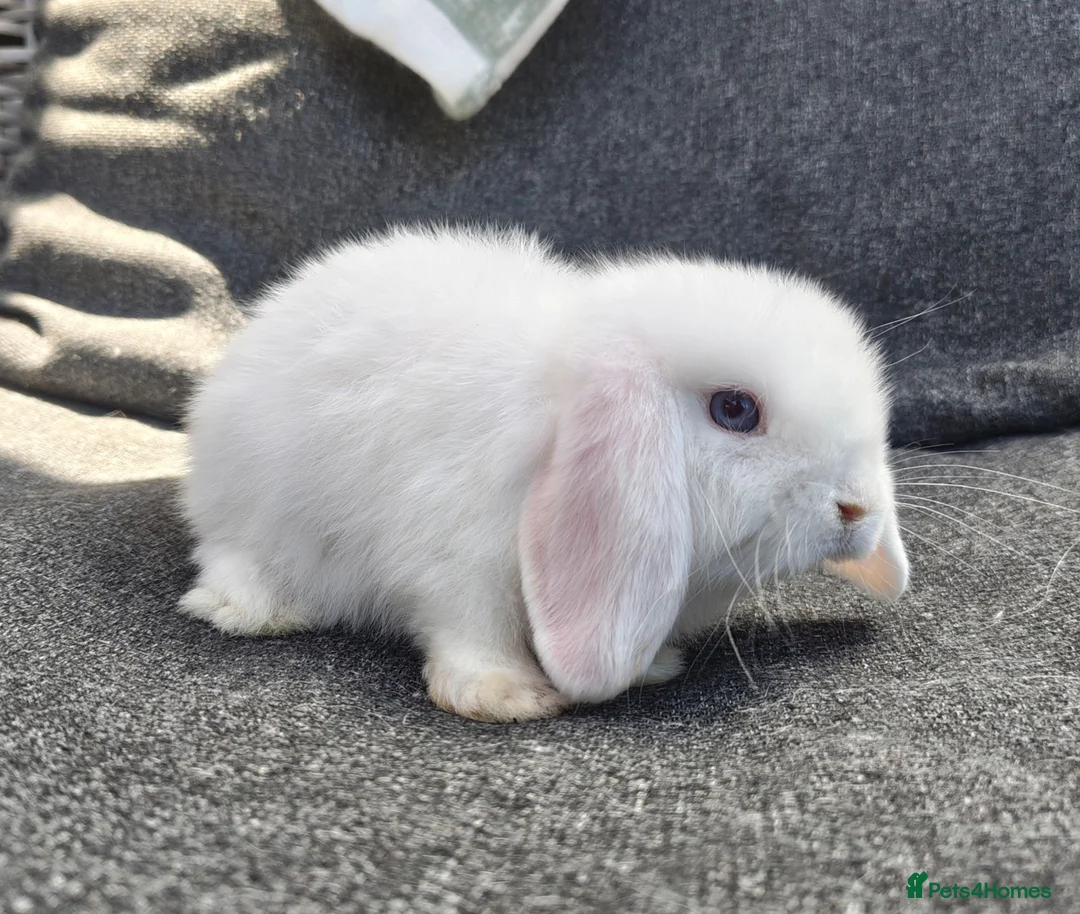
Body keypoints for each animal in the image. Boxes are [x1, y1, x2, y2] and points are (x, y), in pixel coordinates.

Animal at [180, 226, 908, 723]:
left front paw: (652, 667)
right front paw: (509, 696)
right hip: (251, 503)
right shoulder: (453, 559)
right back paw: (251, 609)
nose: (857, 510)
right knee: (231, 554)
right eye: (735, 409)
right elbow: (468, 629)